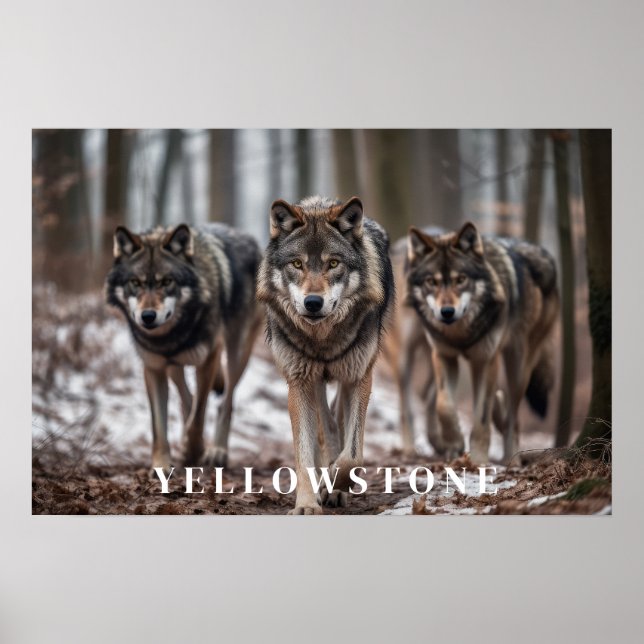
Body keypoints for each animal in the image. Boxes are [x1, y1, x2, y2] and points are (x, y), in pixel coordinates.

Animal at [105, 222, 262, 471]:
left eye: (167, 281)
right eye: (135, 283)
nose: (147, 316)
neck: (172, 335)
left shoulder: (209, 358)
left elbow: (198, 417)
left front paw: (193, 451)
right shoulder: (154, 369)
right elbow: (159, 426)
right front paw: (161, 464)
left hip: (237, 353)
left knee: (224, 403)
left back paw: (217, 451)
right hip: (174, 366)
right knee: (187, 397)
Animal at [257, 196, 394, 514]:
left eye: (333, 263)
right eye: (297, 264)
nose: (313, 302)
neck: (323, 339)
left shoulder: (359, 376)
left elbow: (353, 456)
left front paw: (334, 482)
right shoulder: (299, 382)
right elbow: (305, 452)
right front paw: (307, 503)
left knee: (339, 420)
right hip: (314, 380)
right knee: (326, 425)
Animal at [403, 222, 559, 464]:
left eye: (461, 280)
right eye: (432, 282)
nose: (447, 312)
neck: (460, 334)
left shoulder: (487, 361)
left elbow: (481, 418)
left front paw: (477, 459)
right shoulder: (444, 356)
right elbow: (444, 405)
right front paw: (455, 446)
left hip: (517, 366)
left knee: (514, 416)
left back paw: (512, 459)